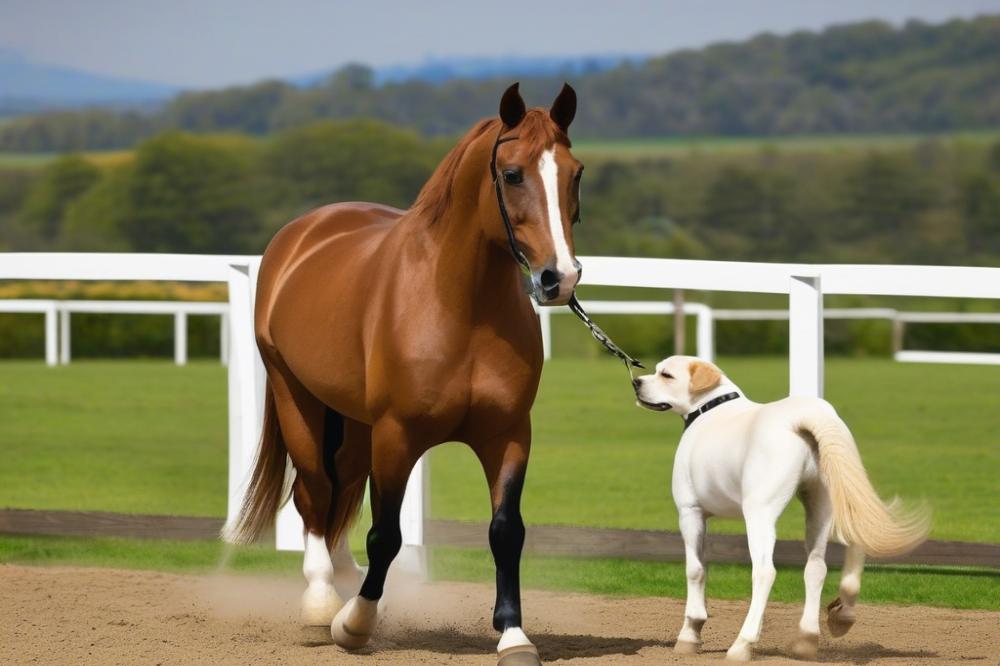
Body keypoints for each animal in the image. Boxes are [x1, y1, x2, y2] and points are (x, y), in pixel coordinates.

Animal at [225, 84, 584, 664]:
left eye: (575, 173)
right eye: (512, 174)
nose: (560, 278)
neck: (461, 306)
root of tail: (303, 233)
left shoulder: (508, 435)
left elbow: (506, 532)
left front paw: (513, 635)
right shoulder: (397, 436)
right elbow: (386, 535)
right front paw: (355, 625)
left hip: (354, 421)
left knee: (340, 488)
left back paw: (343, 577)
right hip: (296, 396)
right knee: (315, 492)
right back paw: (322, 600)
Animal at [632, 356, 928, 656]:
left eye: (666, 375)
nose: (637, 383)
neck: (710, 409)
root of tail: (801, 419)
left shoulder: (690, 512)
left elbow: (696, 570)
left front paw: (690, 635)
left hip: (759, 514)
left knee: (764, 572)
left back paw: (742, 644)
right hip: (823, 503)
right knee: (821, 565)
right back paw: (815, 633)